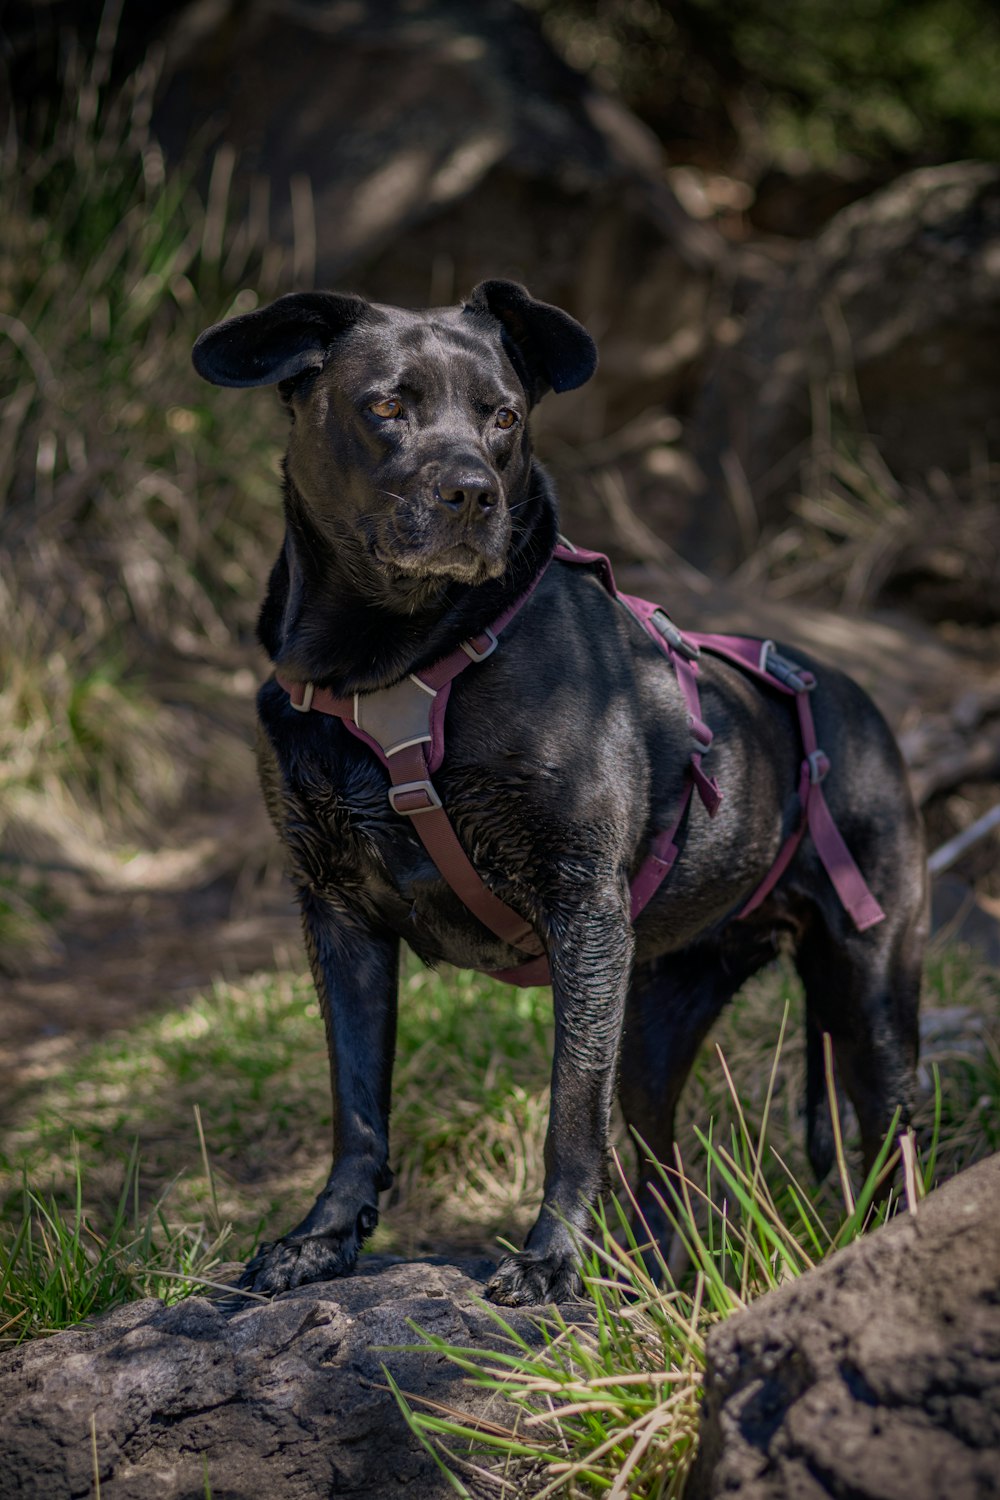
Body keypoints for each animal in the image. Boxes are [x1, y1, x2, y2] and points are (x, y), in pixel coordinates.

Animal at [191, 279, 929, 1302]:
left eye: (503, 416)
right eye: (386, 406)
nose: (472, 493)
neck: (392, 664)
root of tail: (852, 701)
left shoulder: (580, 912)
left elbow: (569, 1114)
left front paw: (550, 1260)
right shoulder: (337, 915)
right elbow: (357, 1104)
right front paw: (324, 1238)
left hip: (868, 986)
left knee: (890, 1137)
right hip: (656, 1015)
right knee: (664, 1170)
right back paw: (654, 1286)